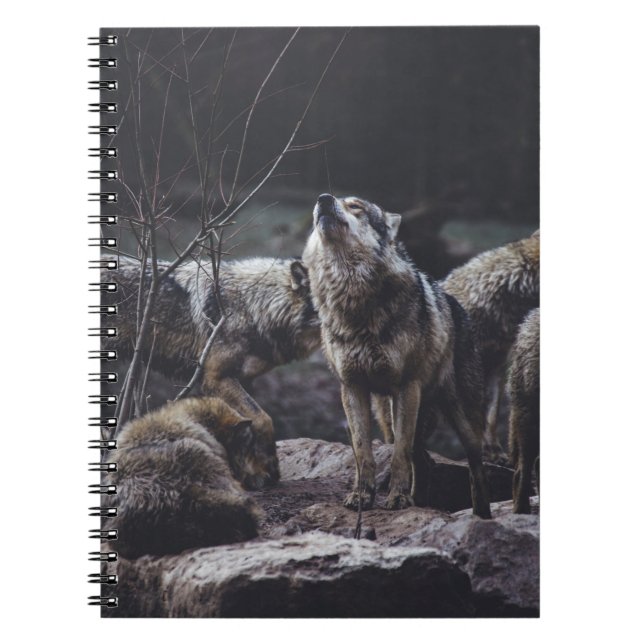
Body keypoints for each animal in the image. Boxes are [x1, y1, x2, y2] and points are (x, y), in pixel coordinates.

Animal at [102, 255, 320, 488]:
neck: (252, 306)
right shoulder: (216, 378)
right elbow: (263, 419)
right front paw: (269, 469)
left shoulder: (243, 380)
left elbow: (245, 427)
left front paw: (254, 473)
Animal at [303, 194, 491, 517]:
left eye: (356, 206)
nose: (323, 199)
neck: (352, 298)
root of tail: (456, 305)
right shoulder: (352, 387)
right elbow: (362, 451)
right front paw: (362, 496)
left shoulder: (406, 386)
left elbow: (399, 455)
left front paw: (398, 499)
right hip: (390, 414)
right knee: (424, 460)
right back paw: (421, 502)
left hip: (461, 419)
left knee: (474, 467)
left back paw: (481, 516)